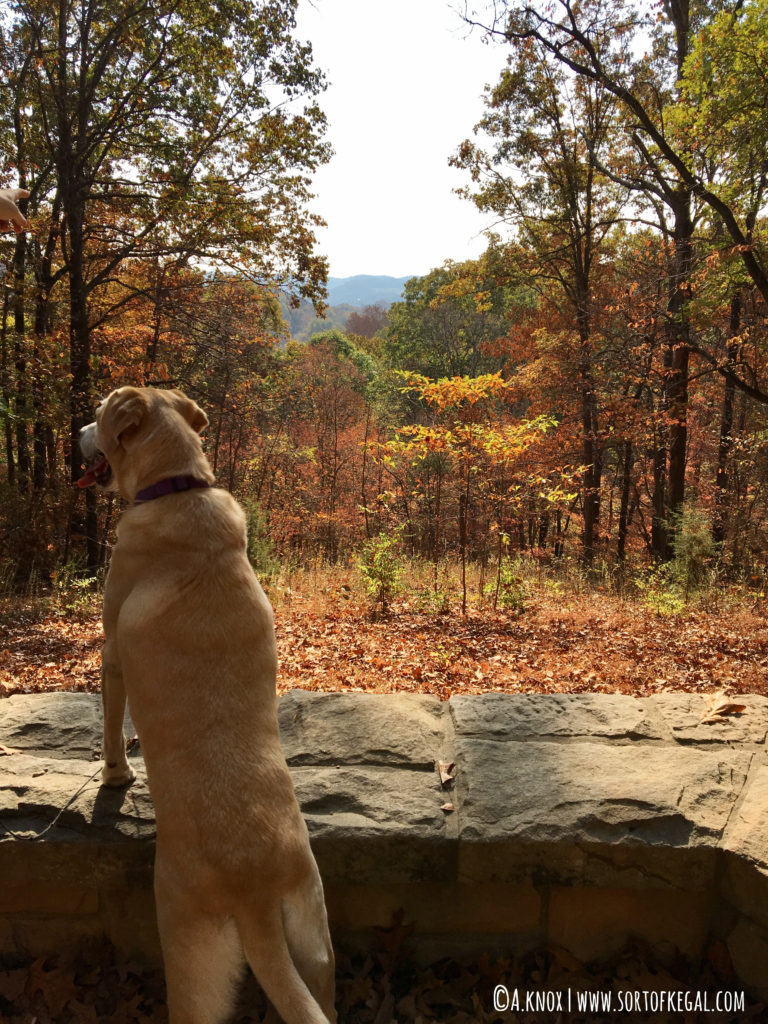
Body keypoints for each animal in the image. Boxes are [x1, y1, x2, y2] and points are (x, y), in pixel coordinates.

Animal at [78, 385, 335, 1024]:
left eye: (97, 413)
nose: (76, 433)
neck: (180, 487)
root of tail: (254, 893)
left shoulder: (111, 651)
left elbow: (111, 723)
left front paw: (115, 775)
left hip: (186, 946)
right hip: (317, 941)